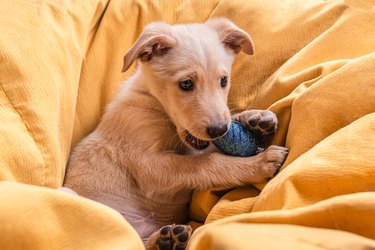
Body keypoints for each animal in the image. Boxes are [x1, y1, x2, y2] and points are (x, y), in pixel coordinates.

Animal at [63, 18, 290, 250]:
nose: (219, 130)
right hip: (73, 197)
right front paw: (260, 163)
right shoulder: (149, 166)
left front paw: (256, 118)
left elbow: (214, 145)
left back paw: (167, 239)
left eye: (223, 80)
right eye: (186, 83)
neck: (156, 104)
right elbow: (210, 163)